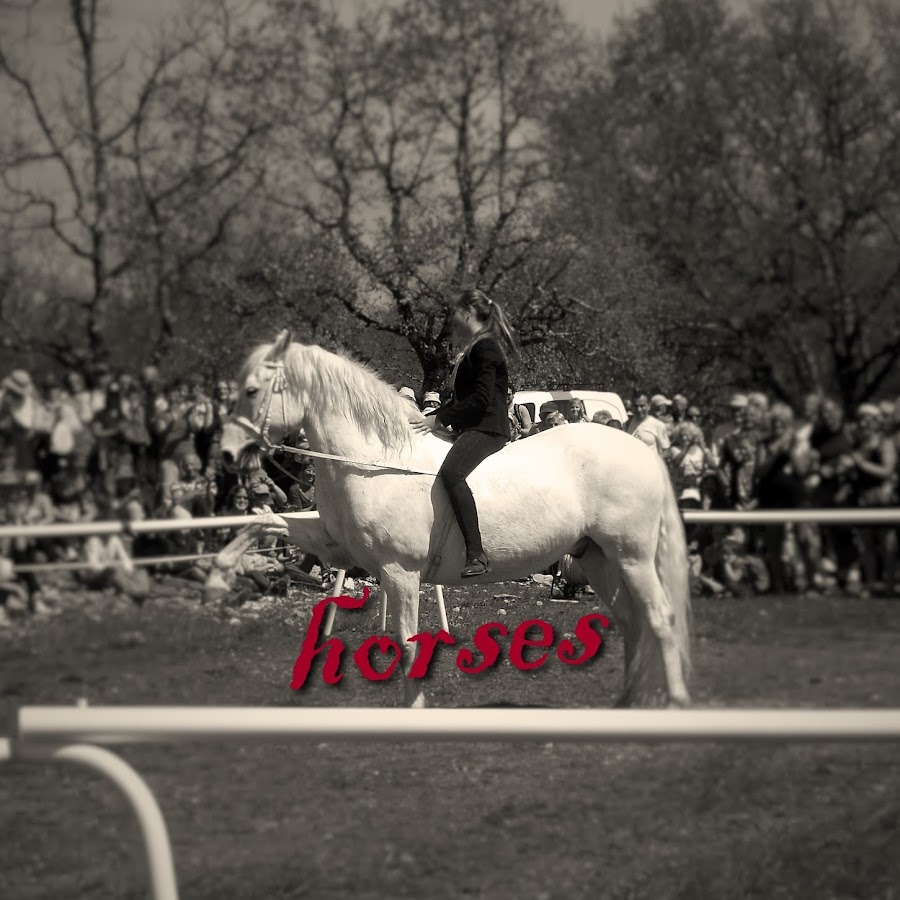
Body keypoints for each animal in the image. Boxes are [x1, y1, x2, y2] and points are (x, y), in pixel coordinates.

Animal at [220, 330, 691, 708]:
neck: (372, 461)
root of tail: (640, 449)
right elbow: (262, 522)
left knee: (660, 619)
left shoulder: (400, 572)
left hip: (631, 557)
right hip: (597, 558)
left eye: (252, 391)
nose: (226, 454)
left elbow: (407, 644)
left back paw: (674, 703)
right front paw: (219, 576)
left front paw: (415, 708)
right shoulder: (334, 545)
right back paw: (627, 702)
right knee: (633, 624)